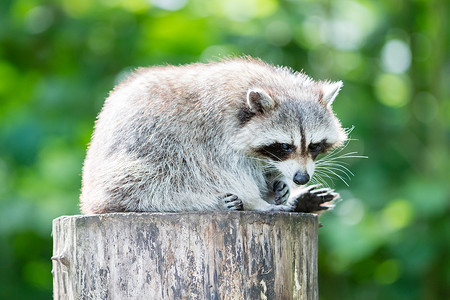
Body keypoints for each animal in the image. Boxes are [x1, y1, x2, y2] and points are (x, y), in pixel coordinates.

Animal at [81, 57, 346, 214]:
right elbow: (231, 173)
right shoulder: (212, 137)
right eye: (285, 146)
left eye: (314, 146)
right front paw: (258, 202)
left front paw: (278, 183)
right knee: (143, 185)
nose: (301, 178)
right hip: (139, 151)